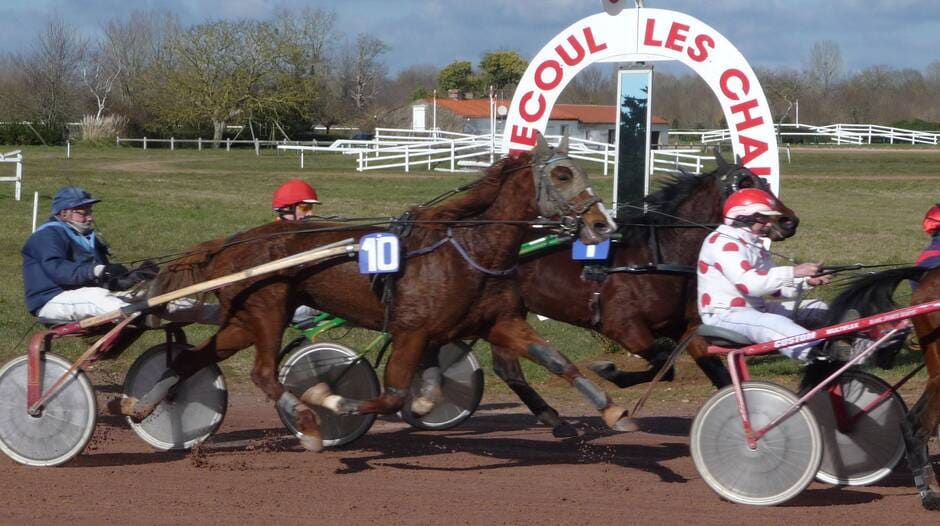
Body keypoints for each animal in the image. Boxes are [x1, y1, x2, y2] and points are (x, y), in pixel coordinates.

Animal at [119, 134, 632, 452]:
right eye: (563, 175)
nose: (602, 224)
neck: (468, 248)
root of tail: (230, 242)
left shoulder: (497, 322)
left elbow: (558, 361)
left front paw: (613, 410)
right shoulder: (411, 330)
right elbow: (390, 395)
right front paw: (329, 400)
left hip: (243, 321)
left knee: (192, 360)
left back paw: (143, 403)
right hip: (268, 309)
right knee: (265, 374)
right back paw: (306, 423)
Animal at [492, 159, 800, 440]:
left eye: (764, 181)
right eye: (745, 183)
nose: (789, 220)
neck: (656, 256)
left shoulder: (686, 330)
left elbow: (718, 376)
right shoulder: (623, 327)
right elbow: (664, 367)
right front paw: (608, 371)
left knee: (507, 369)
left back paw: (555, 420)